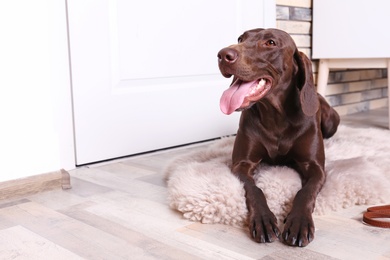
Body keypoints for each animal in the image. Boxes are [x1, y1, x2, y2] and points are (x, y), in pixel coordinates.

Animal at [218, 28, 340, 246]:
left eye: (271, 43)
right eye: (240, 39)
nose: (223, 55)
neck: (276, 117)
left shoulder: (315, 168)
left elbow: (305, 192)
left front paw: (299, 222)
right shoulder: (242, 164)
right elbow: (254, 189)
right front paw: (264, 220)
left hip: (331, 121)